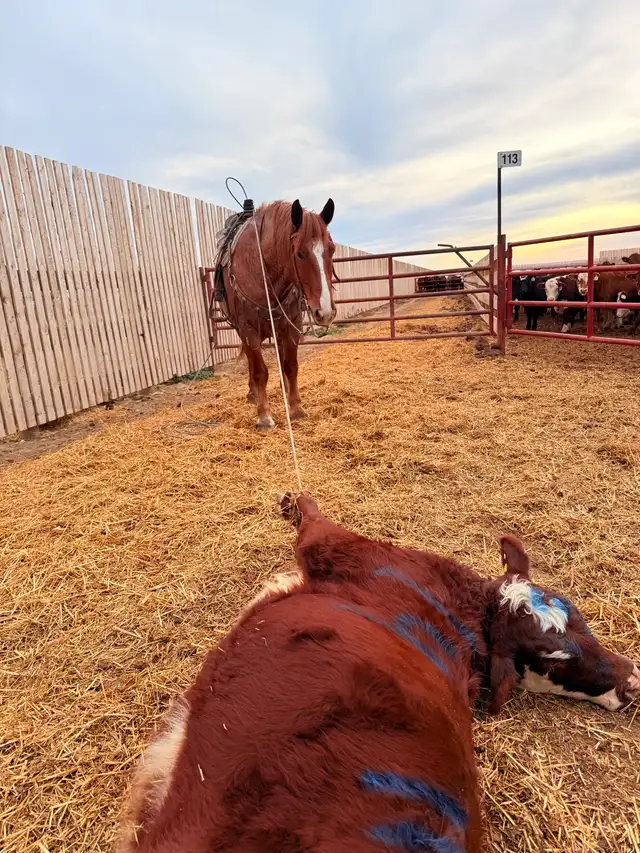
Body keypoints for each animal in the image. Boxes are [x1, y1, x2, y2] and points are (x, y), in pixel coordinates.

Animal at [214, 199, 336, 432]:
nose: (325, 312)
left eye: (331, 250)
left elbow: (290, 366)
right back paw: (253, 393)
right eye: (299, 253)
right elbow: (260, 372)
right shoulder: (248, 330)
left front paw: (295, 407)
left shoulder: (291, 326)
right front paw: (264, 416)